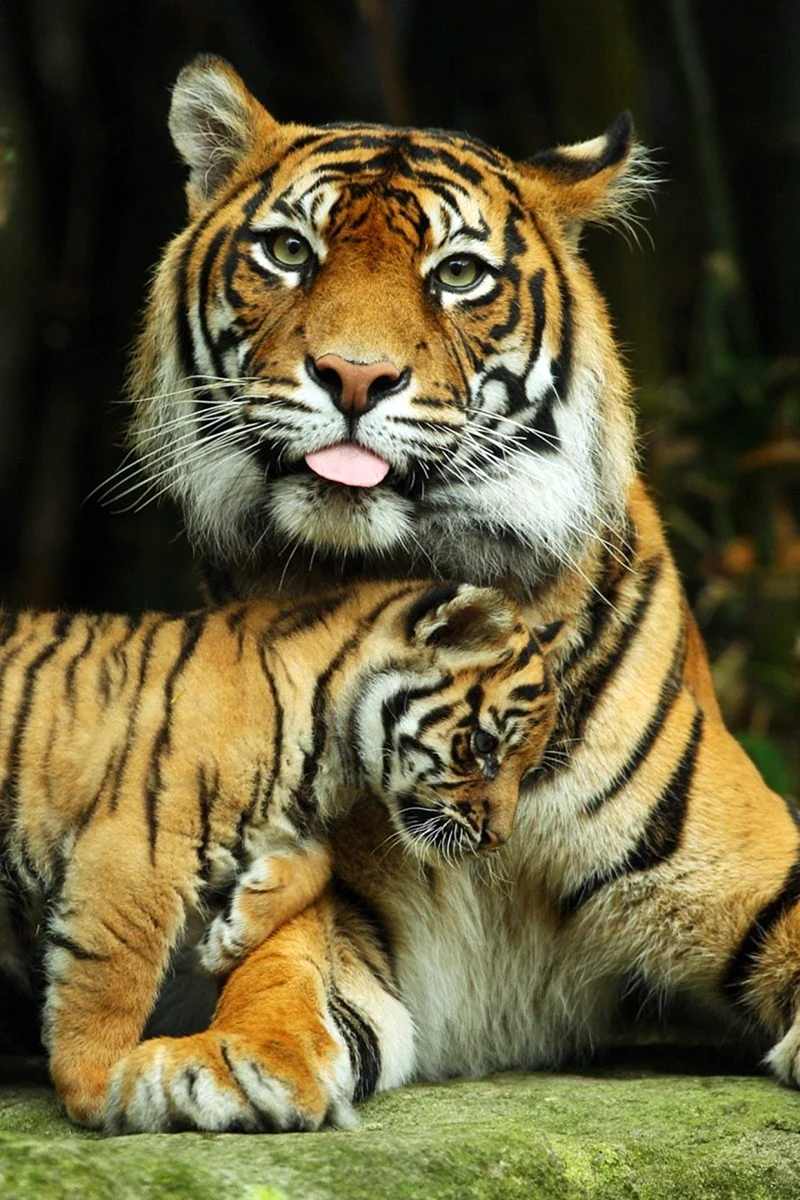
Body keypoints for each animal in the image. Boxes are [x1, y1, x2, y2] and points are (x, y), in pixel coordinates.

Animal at [0, 581, 556, 1127]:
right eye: (484, 745)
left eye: (526, 768)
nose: (496, 838)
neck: (329, 763)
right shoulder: (140, 846)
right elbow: (111, 975)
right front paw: (102, 1087)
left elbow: (319, 862)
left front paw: (230, 935)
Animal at [102, 55, 800, 1135]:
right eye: (289, 252)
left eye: (458, 274)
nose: (353, 376)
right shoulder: (334, 896)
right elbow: (278, 965)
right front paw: (223, 1059)